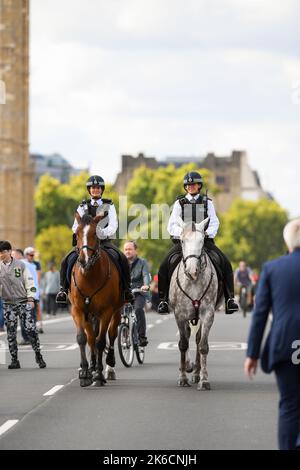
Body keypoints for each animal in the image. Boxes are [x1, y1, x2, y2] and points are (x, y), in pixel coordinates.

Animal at [69, 212, 123, 386]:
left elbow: (101, 342)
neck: (89, 275)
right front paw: (86, 372)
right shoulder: (78, 310)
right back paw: (92, 366)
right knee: (91, 337)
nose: (84, 260)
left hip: (116, 311)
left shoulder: (106, 311)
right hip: (89, 314)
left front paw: (99, 374)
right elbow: (83, 338)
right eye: (77, 233)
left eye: (95, 233)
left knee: (111, 335)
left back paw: (109, 366)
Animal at [170, 217, 221, 390]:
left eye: (202, 240)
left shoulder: (208, 314)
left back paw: (196, 372)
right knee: (186, 336)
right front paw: (182, 378)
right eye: (182, 241)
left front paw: (204, 380)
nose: (192, 270)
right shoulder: (179, 314)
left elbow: (203, 346)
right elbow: (183, 344)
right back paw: (187, 366)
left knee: (198, 340)